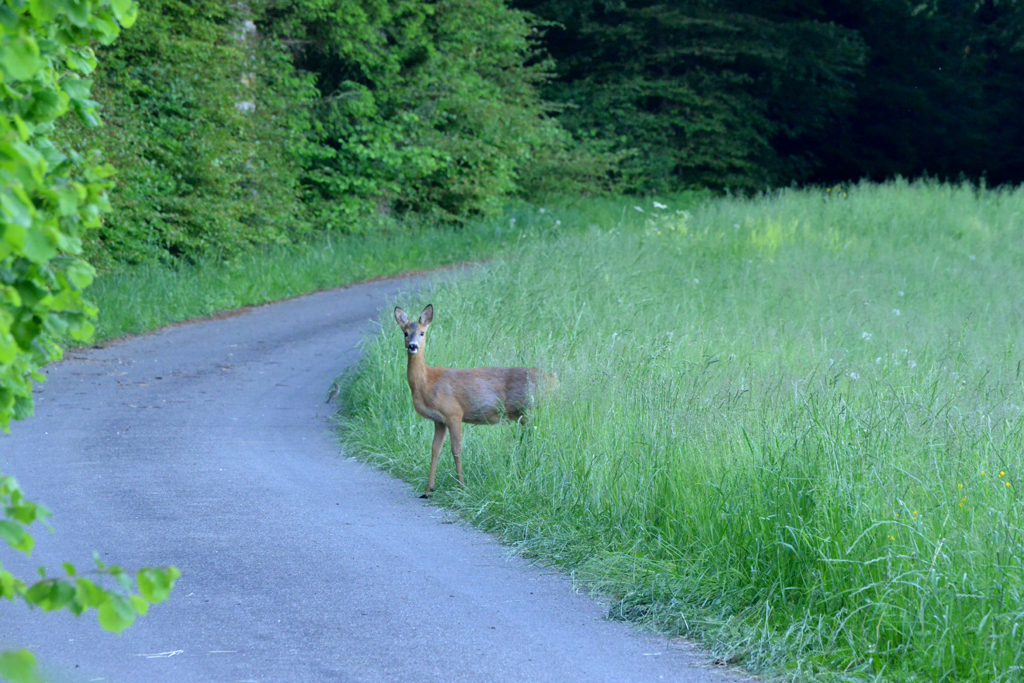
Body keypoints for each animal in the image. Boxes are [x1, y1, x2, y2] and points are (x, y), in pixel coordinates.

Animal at [393, 305, 557, 497]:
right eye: (405, 333)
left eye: (422, 332)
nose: (413, 346)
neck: (427, 383)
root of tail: (553, 380)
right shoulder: (439, 420)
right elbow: (435, 450)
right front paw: (428, 489)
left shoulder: (453, 412)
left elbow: (456, 450)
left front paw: (461, 486)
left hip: (530, 409)